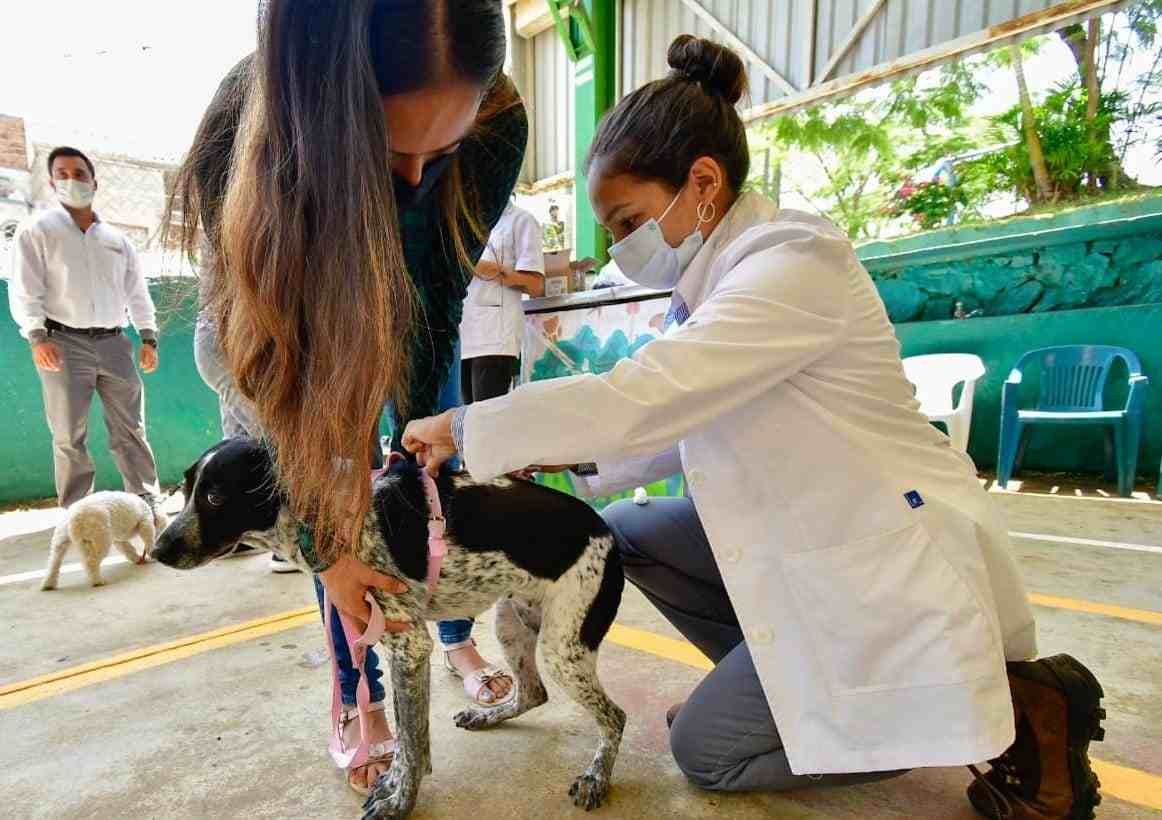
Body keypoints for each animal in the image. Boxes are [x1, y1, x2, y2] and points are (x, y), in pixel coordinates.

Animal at [152, 436, 627, 817]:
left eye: (215, 497)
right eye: (186, 489)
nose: (157, 550)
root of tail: (604, 529)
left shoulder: (410, 646)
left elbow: (411, 741)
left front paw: (400, 799)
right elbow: (406, 737)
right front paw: (395, 785)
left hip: (563, 648)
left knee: (615, 717)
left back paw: (596, 777)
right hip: (513, 622)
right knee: (534, 693)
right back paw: (489, 716)